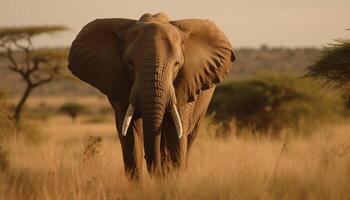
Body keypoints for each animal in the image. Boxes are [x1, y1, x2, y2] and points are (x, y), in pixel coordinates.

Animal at [68, 12, 235, 180]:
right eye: (129, 63)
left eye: (177, 64)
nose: (156, 173)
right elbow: (130, 136)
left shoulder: (186, 83)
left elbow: (175, 134)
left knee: (187, 139)